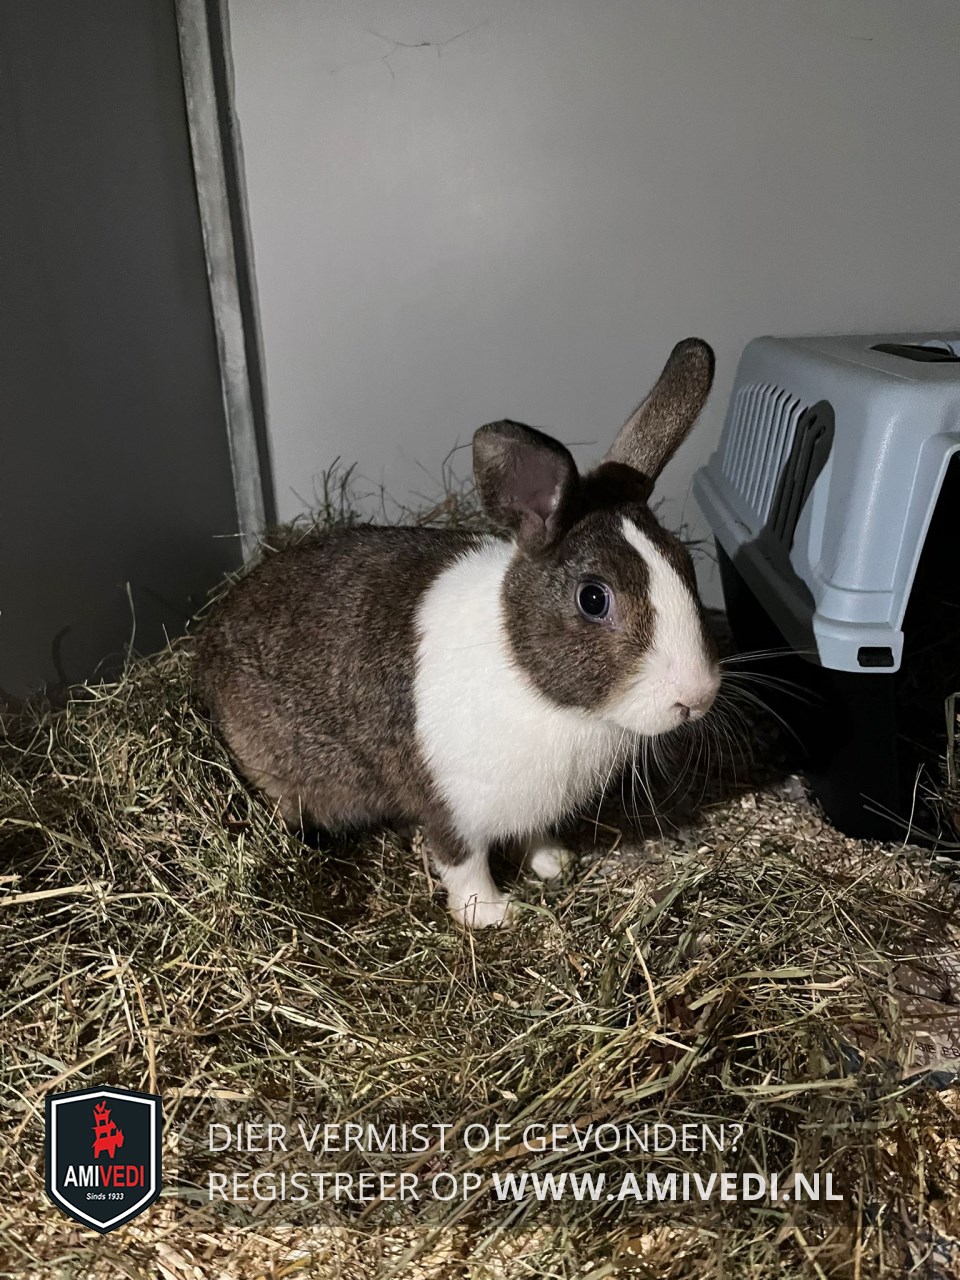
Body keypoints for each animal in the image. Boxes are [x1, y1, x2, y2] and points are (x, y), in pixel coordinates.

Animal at [197, 338, 721, 928]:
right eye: (593, 598)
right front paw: (494, 914)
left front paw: (555, 863)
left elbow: (532, 836)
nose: (698, 698)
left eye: (686, 566)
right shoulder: (451, 808)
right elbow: (463, 863)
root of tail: (206, 644)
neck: (537, 689)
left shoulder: (530, 806)